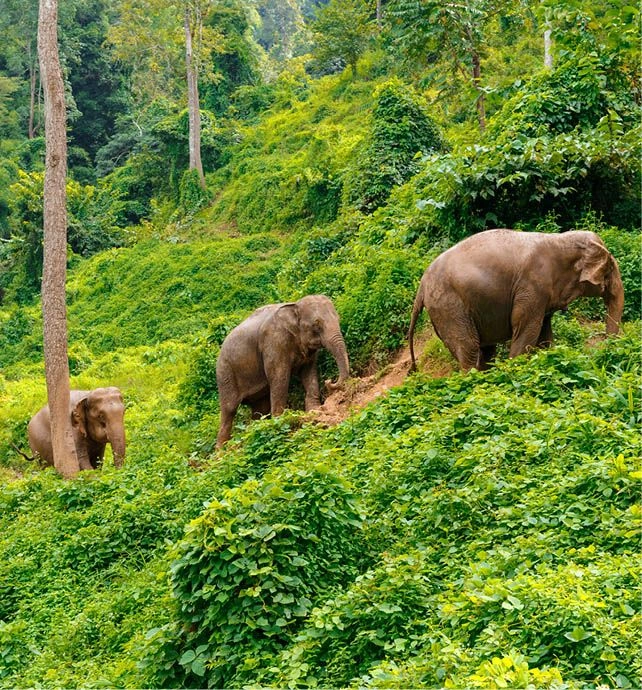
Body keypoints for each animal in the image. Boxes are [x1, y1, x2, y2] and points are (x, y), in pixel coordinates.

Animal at [216, 295, 350, 447]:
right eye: (316, 324)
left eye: (338, 318)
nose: (329, 381)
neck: (294, 306)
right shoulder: (274, 343)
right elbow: (280, 377)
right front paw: (280, 422)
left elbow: (309, 372)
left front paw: (314, 410)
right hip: (225, 373)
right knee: (229, 409)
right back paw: (221, 450)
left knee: (260, 407)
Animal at [408, 229, 624, 372]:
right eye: (609, 269)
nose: (603, 351)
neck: (559, 239)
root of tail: (421, 287)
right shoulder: (532, 286)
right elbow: (526, 327)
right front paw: (515, 368)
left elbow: (544, 333)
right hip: (449, 306)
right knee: (469, 347)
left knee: (484, 349)